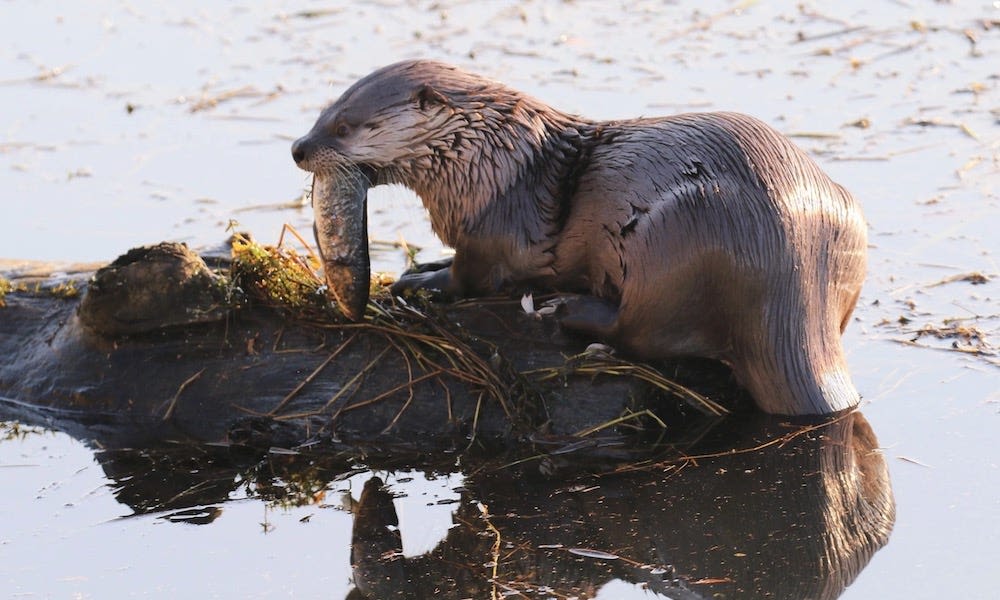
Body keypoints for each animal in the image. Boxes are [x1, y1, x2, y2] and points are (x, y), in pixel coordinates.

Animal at [290, 61, 868, 418]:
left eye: (344, 127)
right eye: (323, 112)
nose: (298, 147)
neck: (487, 162)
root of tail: (794, 281)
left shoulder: (491, 230)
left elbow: (472, 276)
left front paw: (422, 281)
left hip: (679, 239)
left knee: (641, 333)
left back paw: (570, 310)